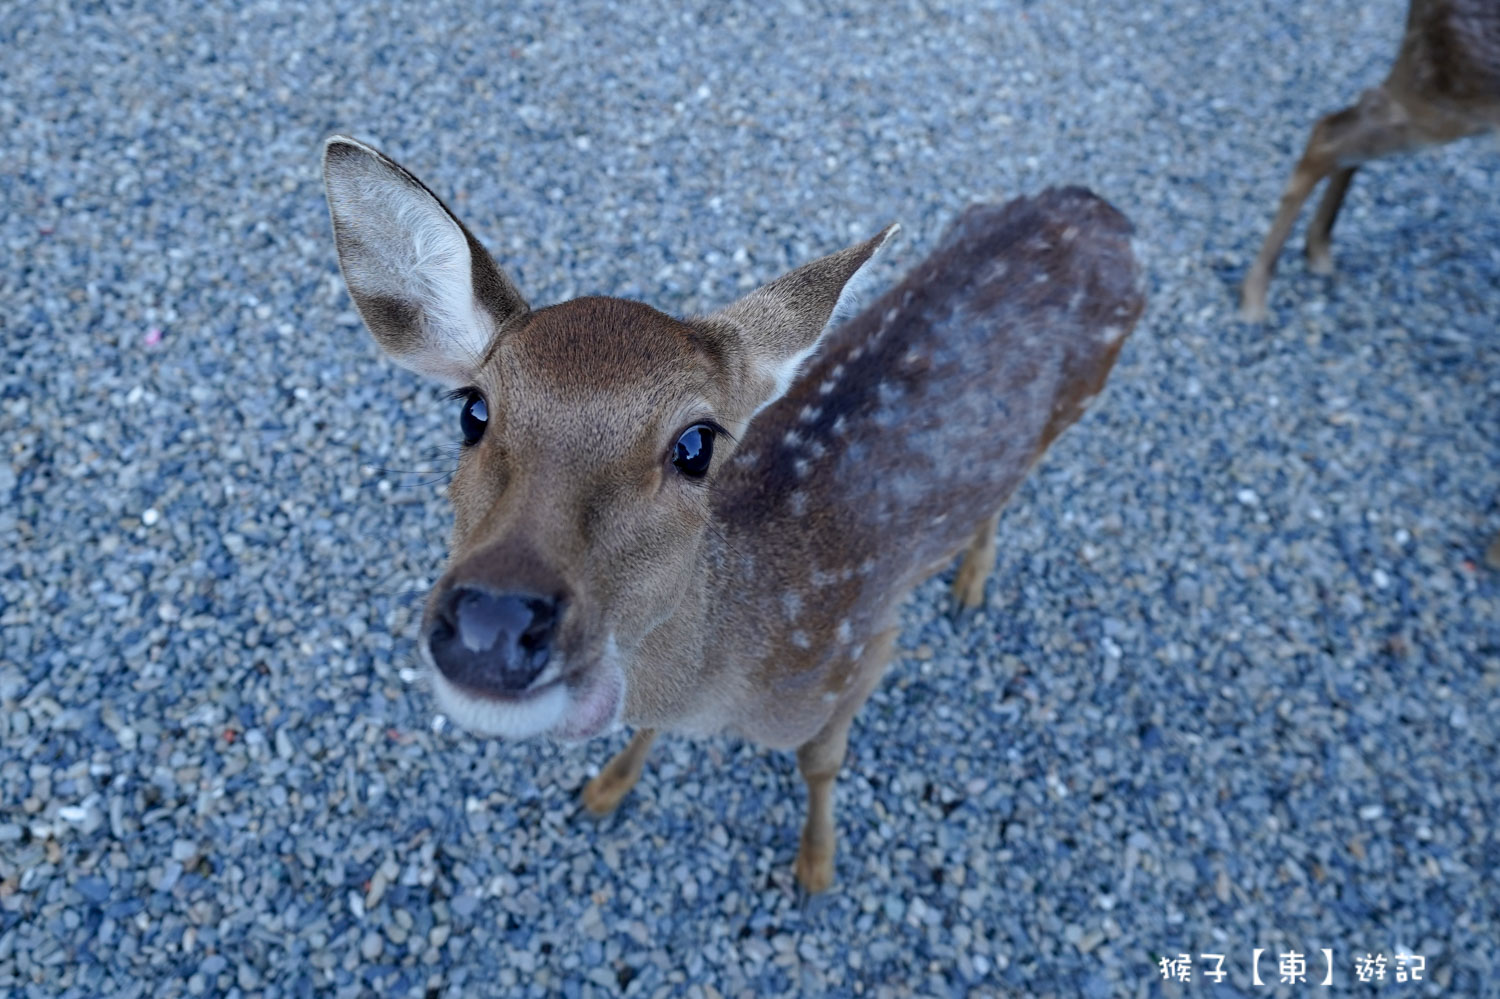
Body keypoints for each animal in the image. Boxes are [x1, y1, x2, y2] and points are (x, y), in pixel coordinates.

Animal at [322, 132, 1140, 888]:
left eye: (696, 444)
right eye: (473, 410)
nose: (493, 621)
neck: (727, 681)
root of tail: (1100, 206)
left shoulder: (863, 648)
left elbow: (822, 762)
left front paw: (816, 865)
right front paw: (606, 788)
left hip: (1082, 397)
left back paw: (970, 583)